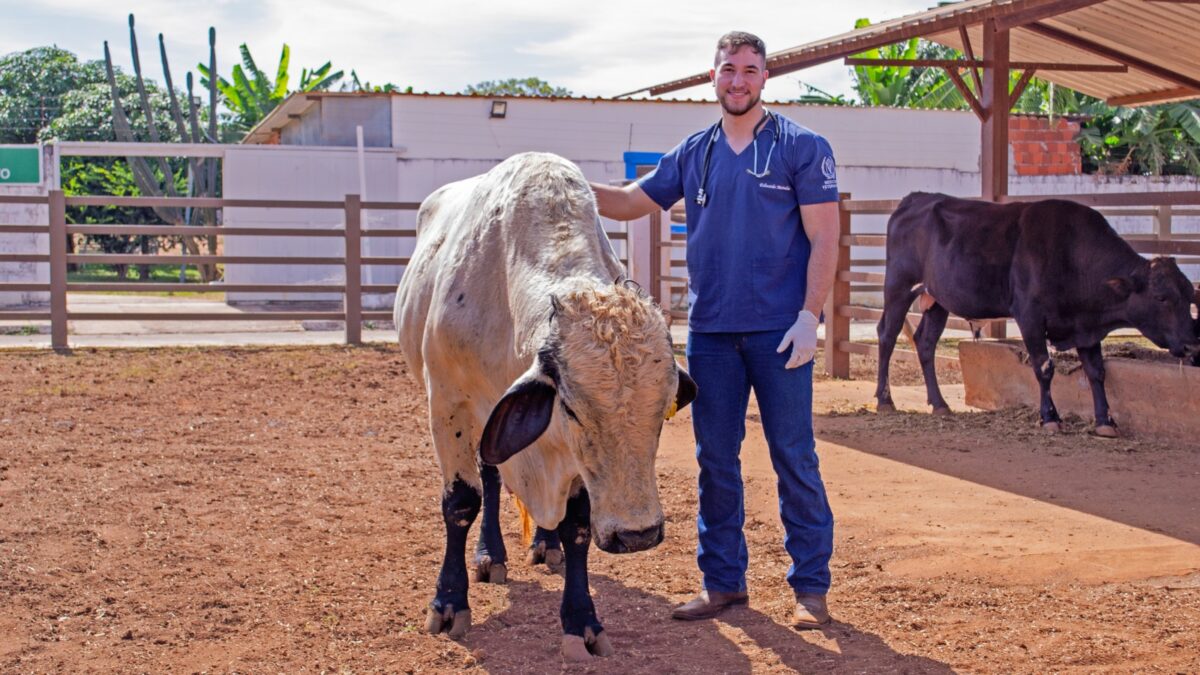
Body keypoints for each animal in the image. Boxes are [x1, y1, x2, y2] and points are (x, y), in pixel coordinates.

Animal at [393, 151, 696, 658]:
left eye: (661, 413)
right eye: (570, 409)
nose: (638, 536)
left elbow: (578, 526)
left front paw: (581, 620)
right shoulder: (449, 405)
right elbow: (461, 503)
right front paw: (449, 603)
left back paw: (545, 543)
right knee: (490, 478)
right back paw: (490, 556)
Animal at [873, 192, 1200, 439]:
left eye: (1189, 296)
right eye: (1161, 297)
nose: (1192, 344)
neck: (1072, 253)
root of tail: (915, 198)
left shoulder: (1085, 326)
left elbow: (1096, 371)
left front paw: (1105, 421)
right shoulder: (1029, 315)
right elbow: (1044, 367)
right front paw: (1049, 417)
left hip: (938, 301)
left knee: (925, 343)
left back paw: (939, 403)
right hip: (899, 287)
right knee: (887, 335)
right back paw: (885, 400)